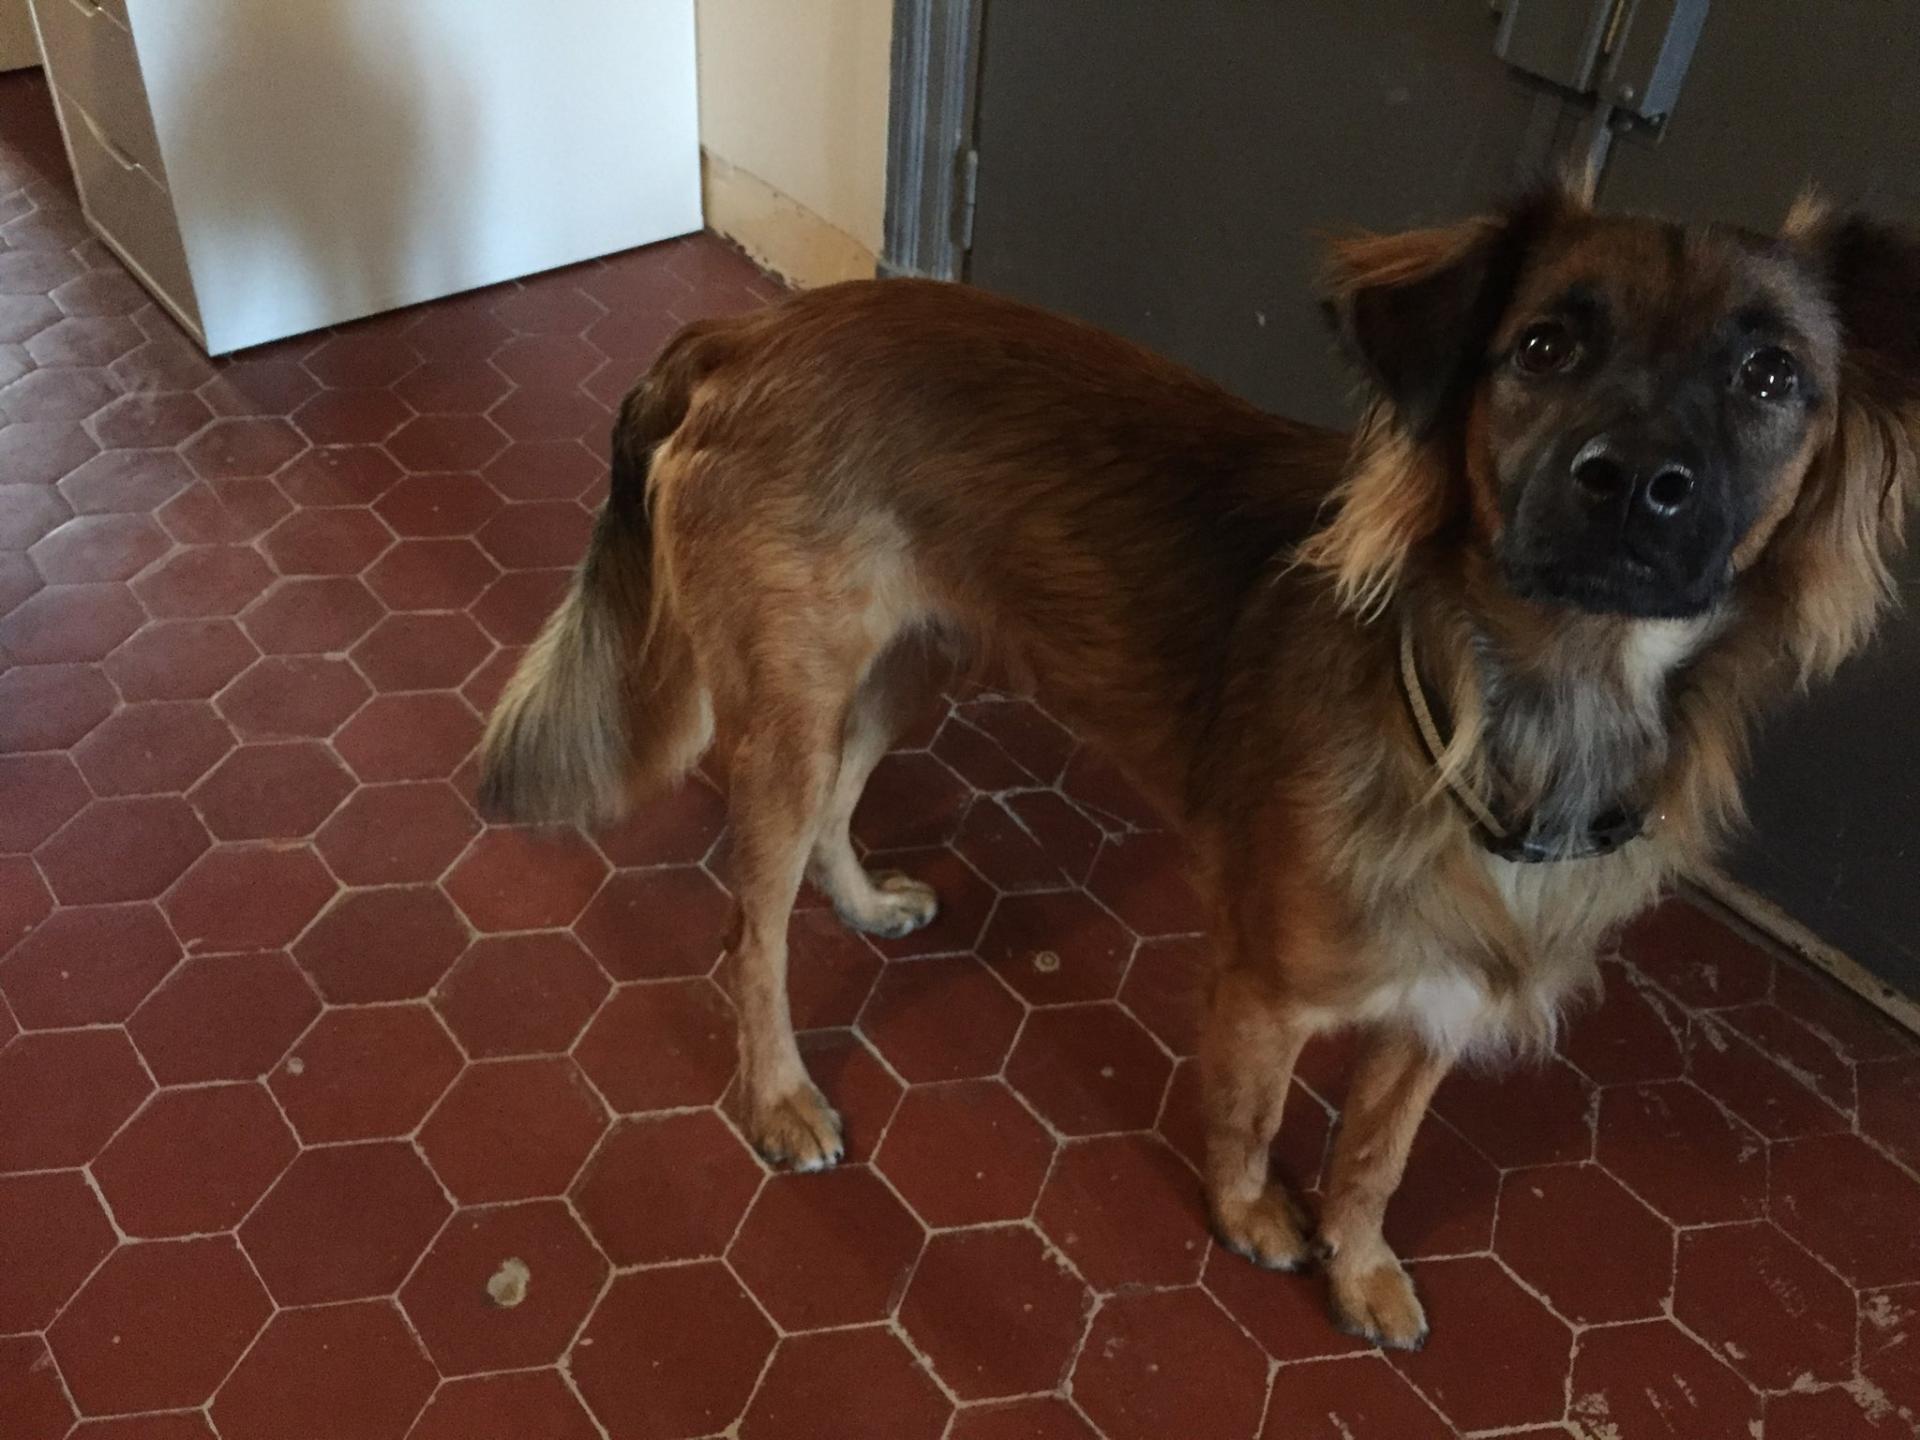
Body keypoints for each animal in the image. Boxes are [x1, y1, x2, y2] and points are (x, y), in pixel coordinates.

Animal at [480, 183, 1920, 1351]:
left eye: (1771, 378)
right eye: (1544, 346)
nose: (1633, 485)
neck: (1508, 709)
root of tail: (741, 338)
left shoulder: (1436, 1005)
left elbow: (1375, 1157)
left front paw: (1361, 1266)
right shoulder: (1268, 988)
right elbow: (1252, 1114)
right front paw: (1252, 1217)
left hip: (905, 664)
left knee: (837, 807)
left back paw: (865, 899)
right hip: (792, 701)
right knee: (752, 929)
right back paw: (779, 1091)